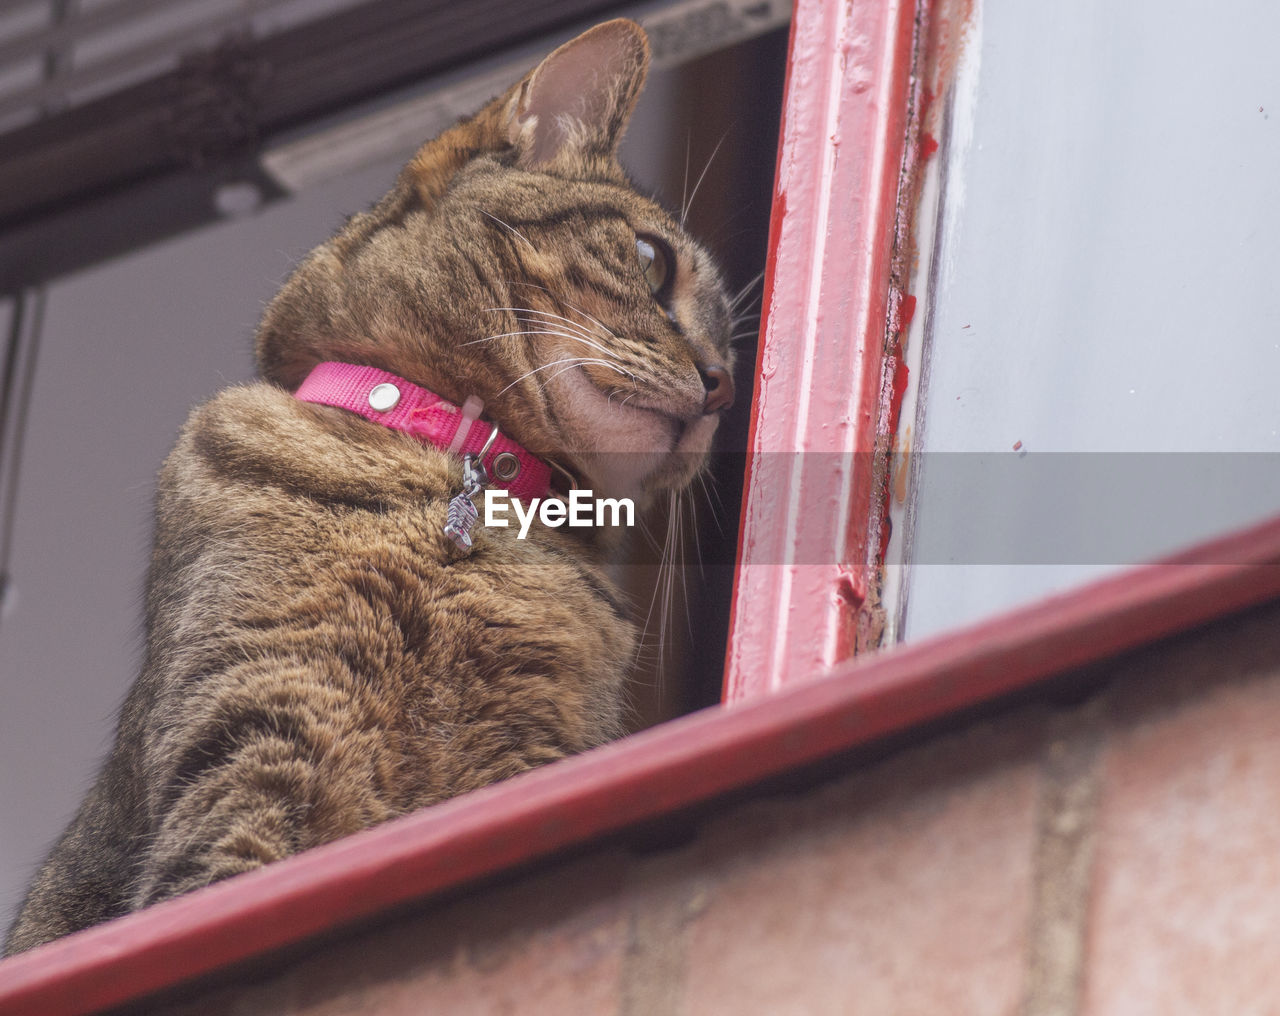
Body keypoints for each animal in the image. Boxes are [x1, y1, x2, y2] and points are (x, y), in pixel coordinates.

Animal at [2, 19, 732, 952]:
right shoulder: (254, 725)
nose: (723, 386)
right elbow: (222, 882)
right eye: (651, 258)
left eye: (735, 350)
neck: (451, 479)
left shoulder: (535, 755)